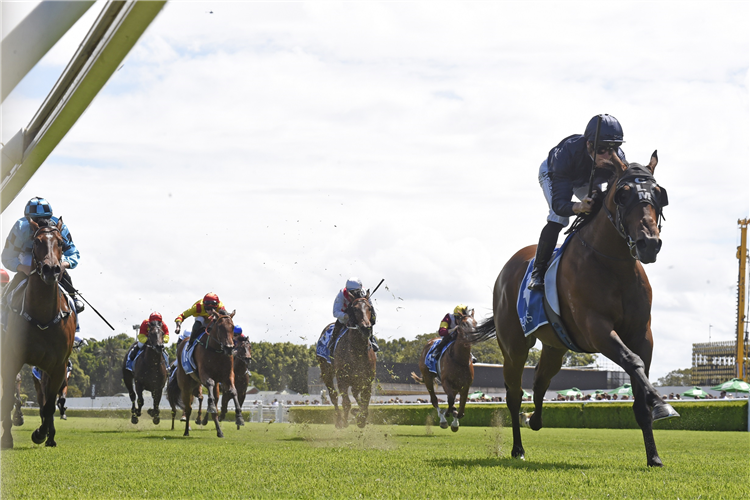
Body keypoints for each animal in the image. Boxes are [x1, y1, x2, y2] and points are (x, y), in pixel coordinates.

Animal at [0, 219, 76, 450]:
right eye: (37, 241)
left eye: (61, 242)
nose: (51, 269)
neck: (42, 315)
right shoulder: (12, 359)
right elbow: (9, 399)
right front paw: (7, 438)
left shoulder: (58, 367)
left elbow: (49, 405)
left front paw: (42, 435)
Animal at [316, 292, 376, 430]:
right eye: (355, 309)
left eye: (370, 308)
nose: (366, 328)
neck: (357, 350)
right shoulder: (342, 379)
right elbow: (346, 402)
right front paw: (344, 421)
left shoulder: (367, 380)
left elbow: (365, 401)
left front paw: (361, 418)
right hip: (326, 372)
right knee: (333, 396)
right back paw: (339, 419)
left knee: (355, 393)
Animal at [476, 150, 680, 466]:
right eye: (623, 194)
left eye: (659, 194)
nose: (649, 243)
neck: (613, 265)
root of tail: (507, 268)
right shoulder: (596, 330)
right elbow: (632, 361)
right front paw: (662, 404)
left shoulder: (641, 334)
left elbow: (639, 379)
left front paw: (654, 455)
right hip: (514, 346)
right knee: (514, 393)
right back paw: (518, 448)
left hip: (555, 346)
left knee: (540, 382)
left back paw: (533, 418)